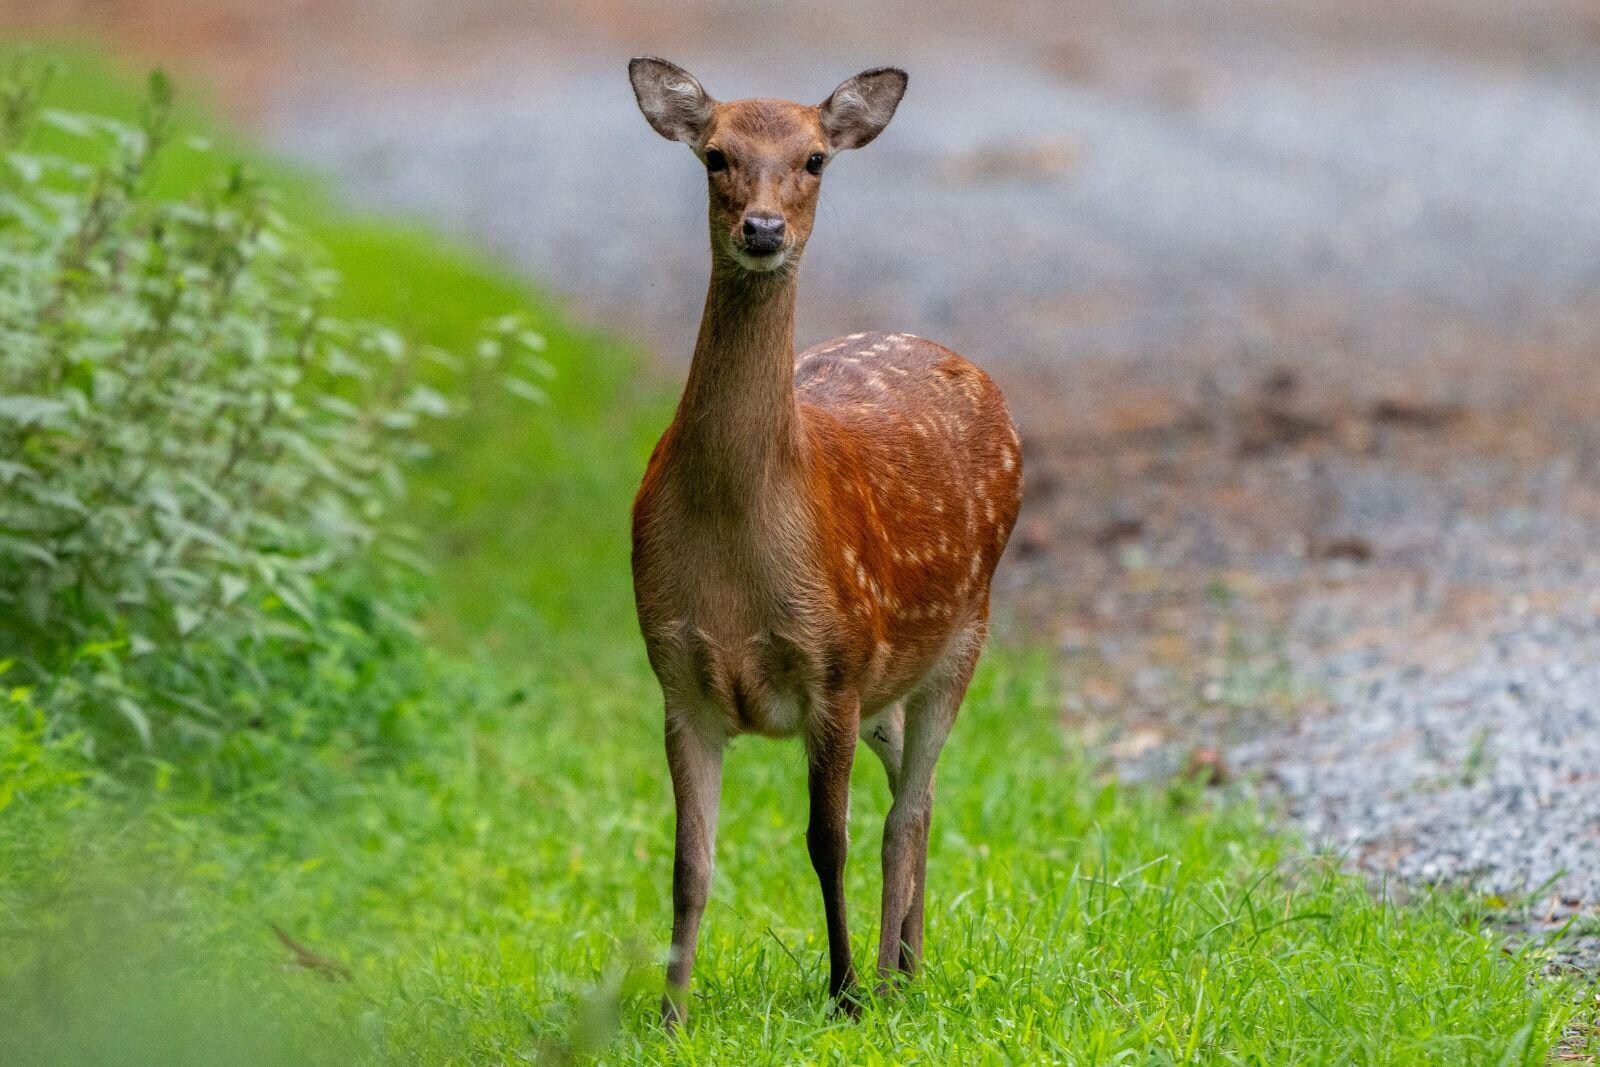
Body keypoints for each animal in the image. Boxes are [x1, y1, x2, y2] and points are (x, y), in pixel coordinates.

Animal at [627, 57, 1022, 1028]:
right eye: (715, 154)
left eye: (814, 159)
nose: (763, 229)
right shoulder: (677, 677)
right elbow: (689, 861)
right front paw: (670, 1013)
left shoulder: (834, 664)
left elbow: (825, 839)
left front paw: (841, 990)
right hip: (891, 676)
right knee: (918, 792)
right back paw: (909, 961)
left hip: (963, 631)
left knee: (905, 812)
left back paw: (888, 977)